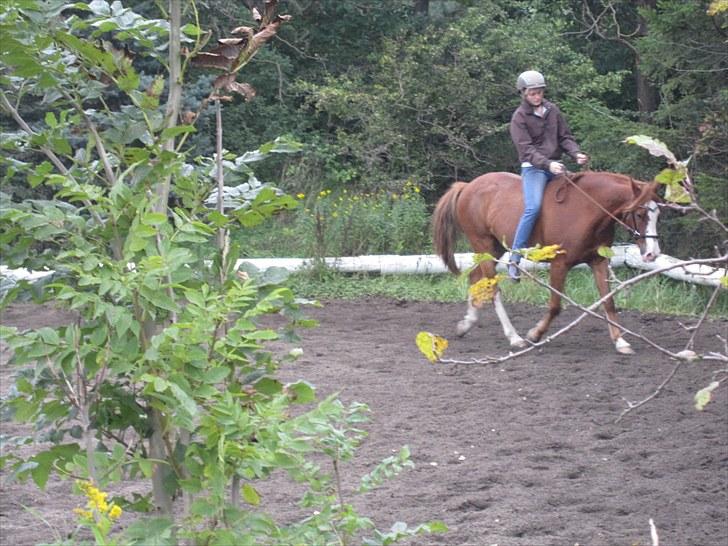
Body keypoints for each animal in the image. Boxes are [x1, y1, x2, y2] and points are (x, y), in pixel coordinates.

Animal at [432, 170, 664, 352]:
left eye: (658, 214)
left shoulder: (598, 261)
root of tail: (467, 186)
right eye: (640, 214)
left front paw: (620, 341)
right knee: (494, 289)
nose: (652, 253)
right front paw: (534, 334)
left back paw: (466, 324)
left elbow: (608, 301)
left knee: (475, 277)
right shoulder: (560, 264)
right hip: (483, 244)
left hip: (495, 248)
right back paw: (514, 337)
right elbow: (555, 306)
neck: (587, 210)